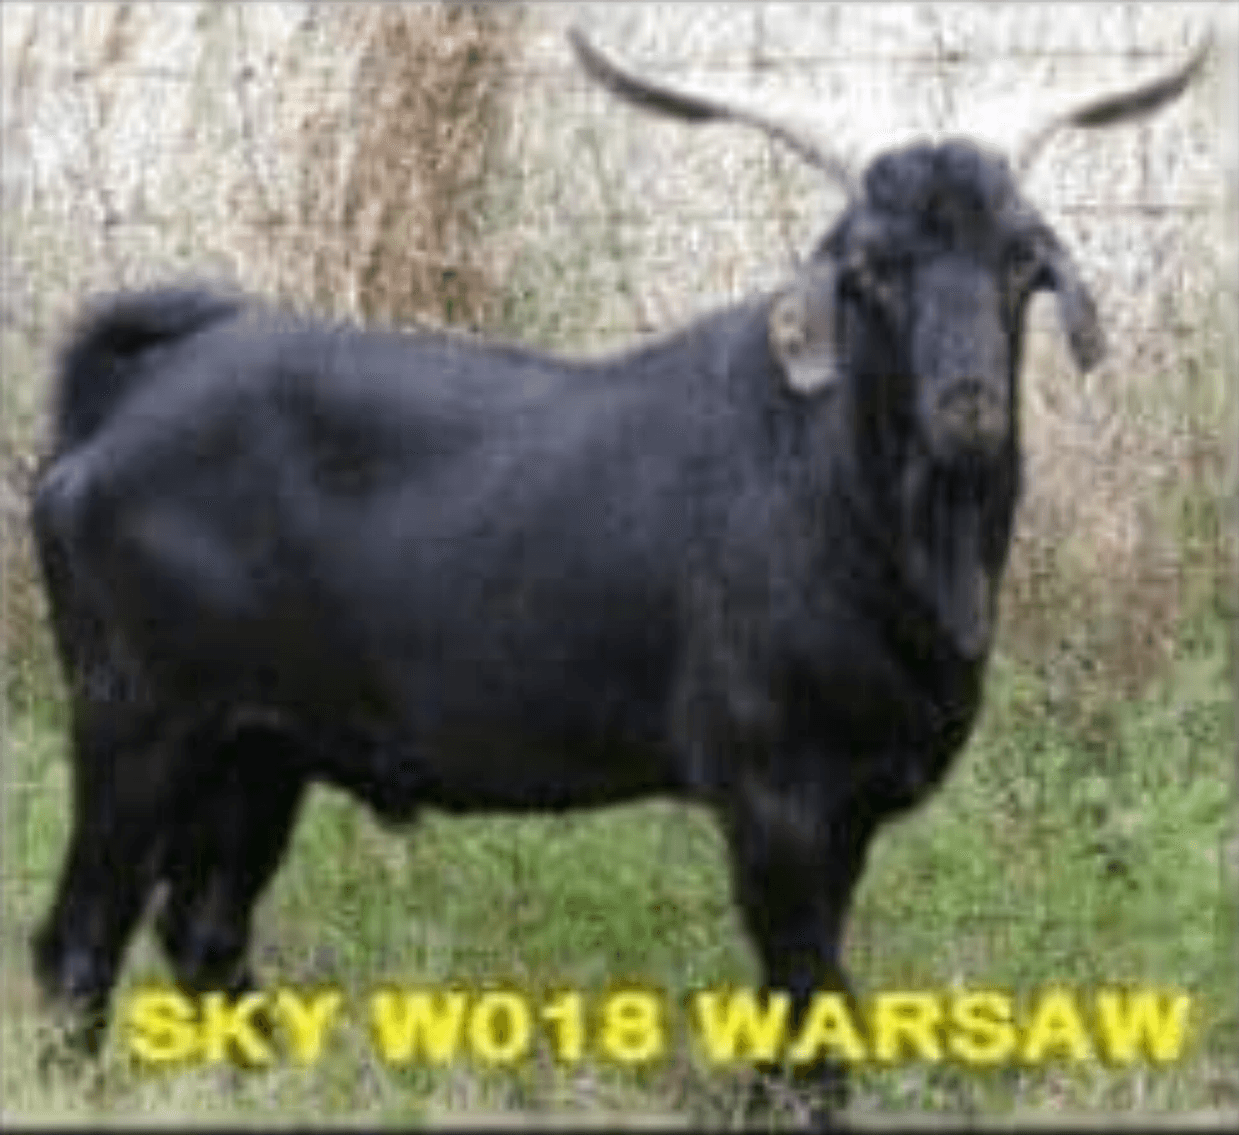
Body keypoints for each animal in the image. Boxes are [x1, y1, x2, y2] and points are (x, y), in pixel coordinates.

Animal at [29, 26, 1208, 1121]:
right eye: (872, 270)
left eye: (1020, 260)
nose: (967, 407)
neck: (848, 498)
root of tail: (135, 393)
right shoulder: (775, 792)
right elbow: (808, 1005)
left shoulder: (846, 810)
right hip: (138, 718)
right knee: (81, 935)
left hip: (260, 746)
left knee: (203, 927)